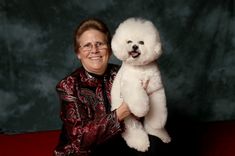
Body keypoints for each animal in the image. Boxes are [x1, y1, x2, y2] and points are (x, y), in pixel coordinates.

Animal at [110, 17, 171, 152]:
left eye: (141, 42)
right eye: (129, 41)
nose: (134, 46)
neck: (140, 68)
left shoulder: (156, 89)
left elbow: (158, 108)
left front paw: (157, 122)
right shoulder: (131, 84)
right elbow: (137, 98)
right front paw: (141, 109)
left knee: (150, 128)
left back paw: (161, 135)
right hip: (127, 119)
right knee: (133, 130)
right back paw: (141, 143)